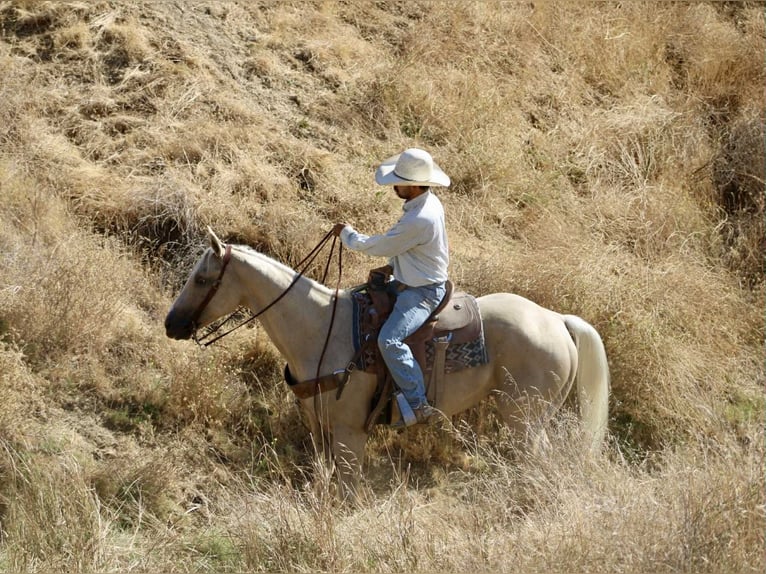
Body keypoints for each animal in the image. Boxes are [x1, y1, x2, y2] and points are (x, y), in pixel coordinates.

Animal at [165, 228, 610, 500]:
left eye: (202, 279)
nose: (171, 324)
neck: (321, 329)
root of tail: (556, 320)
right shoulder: (319, 425)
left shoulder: (350, 432)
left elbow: (346, 488)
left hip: (525, 417)